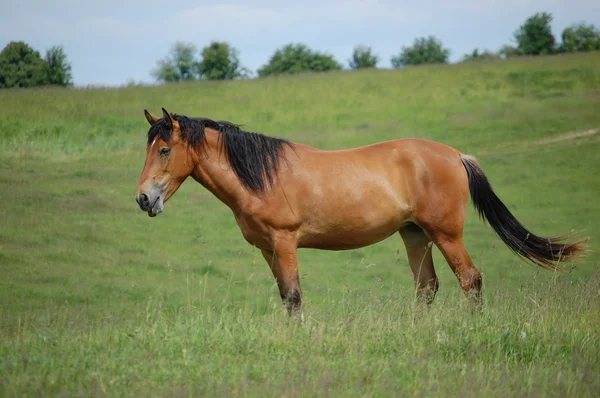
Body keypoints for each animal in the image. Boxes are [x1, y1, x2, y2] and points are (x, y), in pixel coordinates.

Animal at [135, 108, 584, 314]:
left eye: (164, 149)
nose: (143, 199)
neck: (260, 174)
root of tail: (457, 155)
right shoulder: (267, 248)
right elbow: (285, 297)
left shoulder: (285, 241)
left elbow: (295, 296)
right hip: (415, 234)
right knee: (427, 287)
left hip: (445, 234)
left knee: (470, 280)